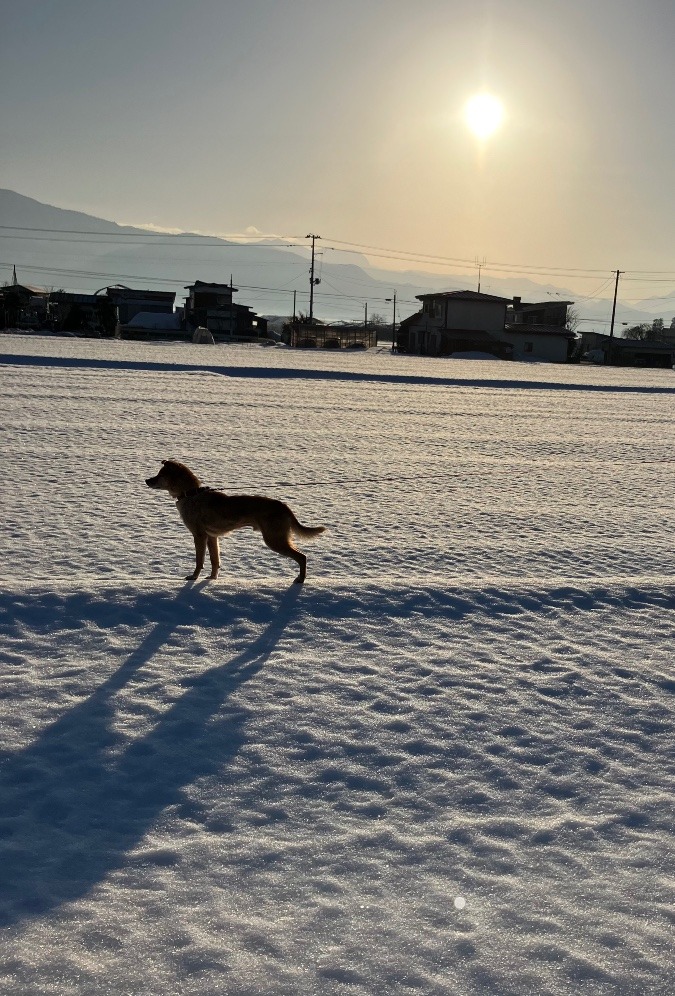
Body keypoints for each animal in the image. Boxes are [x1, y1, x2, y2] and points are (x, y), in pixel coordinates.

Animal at [146, 462, 328, 584]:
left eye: (160, 475)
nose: (147, 480)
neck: (191, 494)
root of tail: (283, 506)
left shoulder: (199, 536)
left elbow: (199, 561)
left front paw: (193, 577)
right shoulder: (212, 537)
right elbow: (215, 561)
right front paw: (212, 579)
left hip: (274, 540)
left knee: (302, 557)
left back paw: (301, 579)